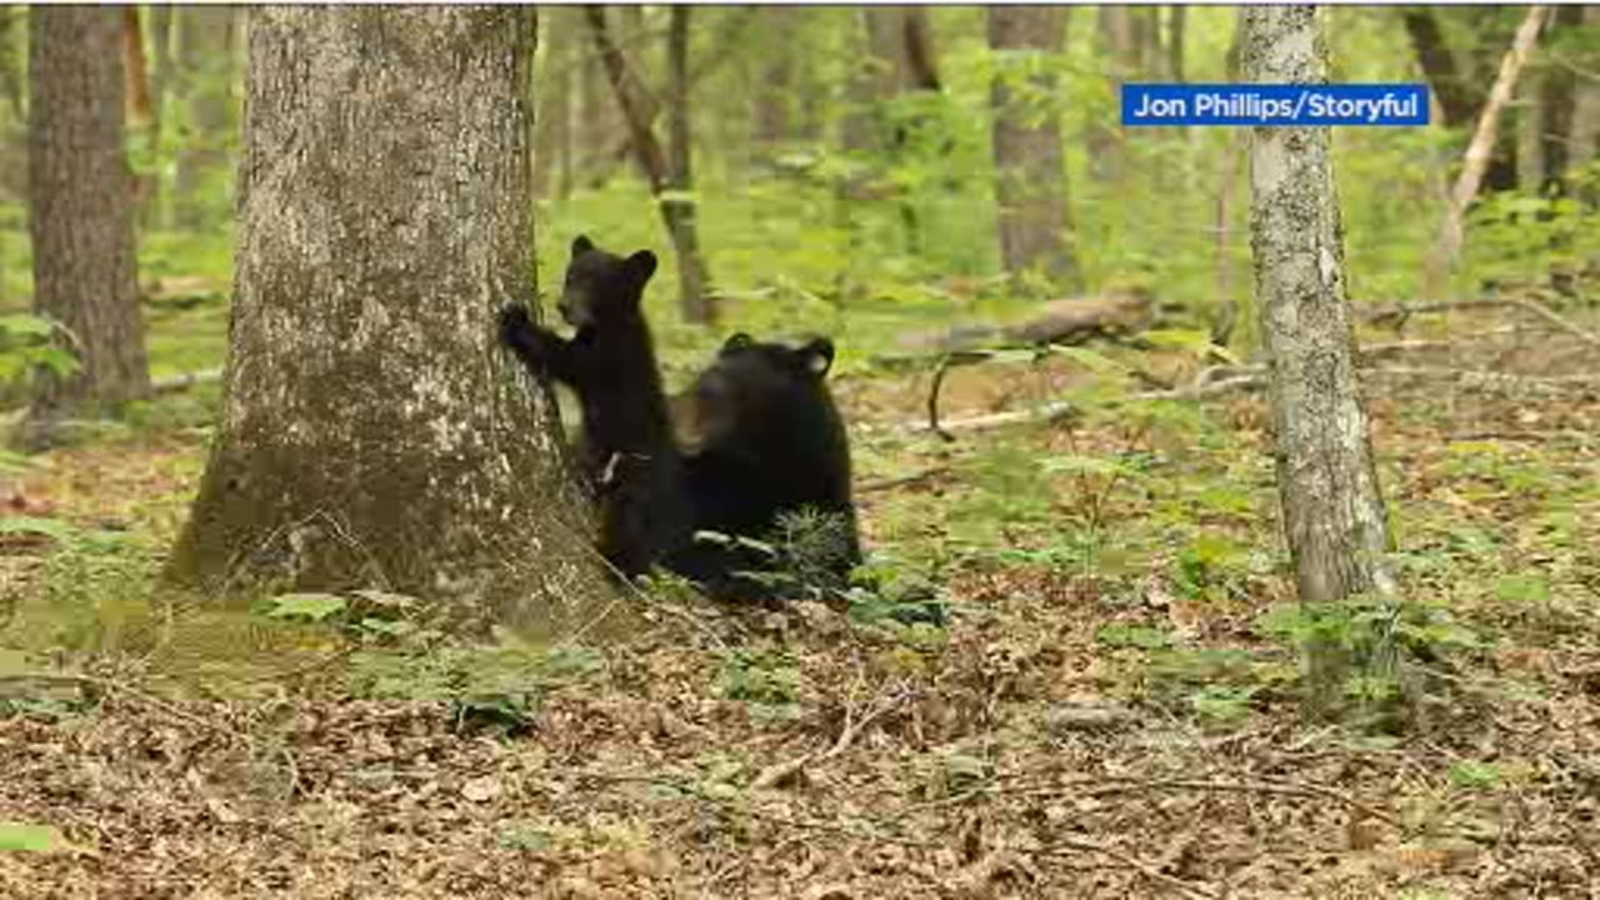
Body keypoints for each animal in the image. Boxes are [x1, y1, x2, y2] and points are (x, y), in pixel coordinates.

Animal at [498, 234, 691, 580]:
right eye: (570, 276)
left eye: (594, 283)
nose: (563, 306)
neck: (608, 323)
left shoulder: (610, 358)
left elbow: (568, 360)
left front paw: (516, 319)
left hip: (631, 474)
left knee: (629, 526)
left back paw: (617, 564)